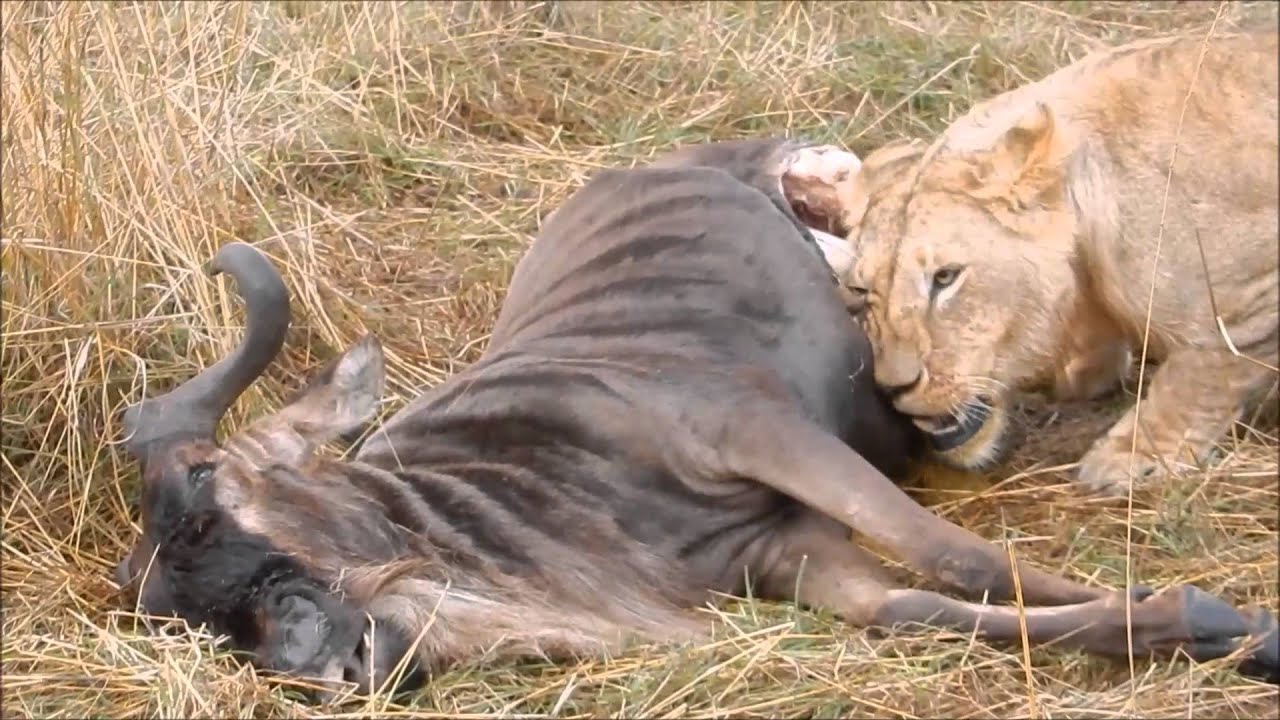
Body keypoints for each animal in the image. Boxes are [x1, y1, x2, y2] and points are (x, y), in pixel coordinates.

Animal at [783, 29, 1274, 491]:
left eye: (945, 277)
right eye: (862, 290)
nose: (893, 388)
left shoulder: (1244, 303)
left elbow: (1198, 372)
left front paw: (1132, 457)